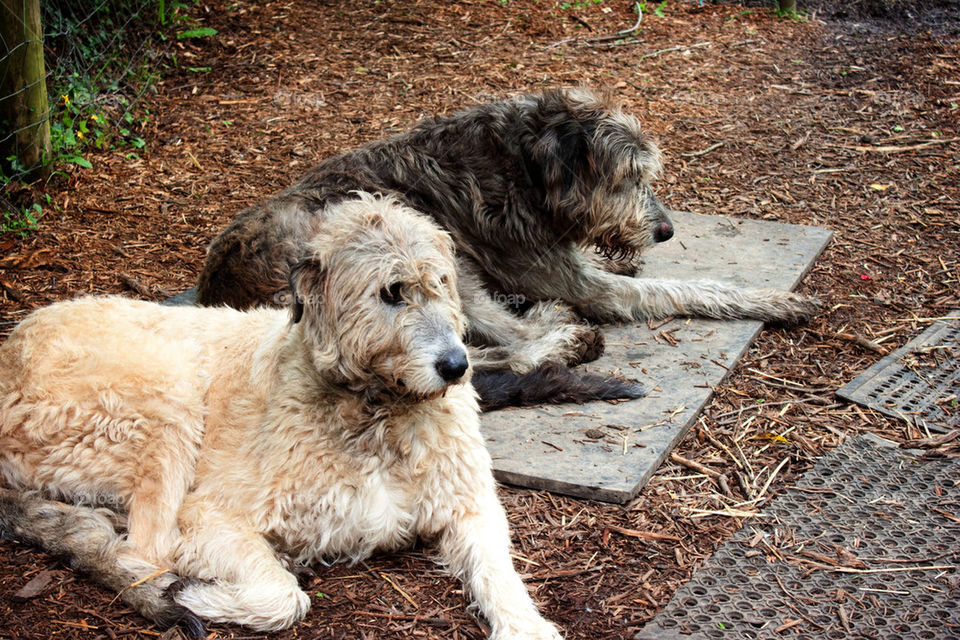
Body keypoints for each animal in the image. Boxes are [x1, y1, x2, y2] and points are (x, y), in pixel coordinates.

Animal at [0, 194, 564, 640]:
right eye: (391, 292)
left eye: (442, 283)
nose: (456, 366)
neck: (378, 414)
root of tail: (11, 349)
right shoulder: (213, 515)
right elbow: (284, 597)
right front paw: (207, 595)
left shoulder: (470, 505)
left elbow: (499, 572)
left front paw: (527, 625)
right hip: (168, 398)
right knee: (148, 546)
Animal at [197, 87, 816, 382]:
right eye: (628, 178)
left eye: (646, 176)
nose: (665, 230)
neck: (523, 166)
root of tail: (221, 295)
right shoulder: (578, 283)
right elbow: (686, 289)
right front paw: (774, 301)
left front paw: (619, 258)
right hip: (426, 258)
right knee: (493, 352)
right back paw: (561, 339)